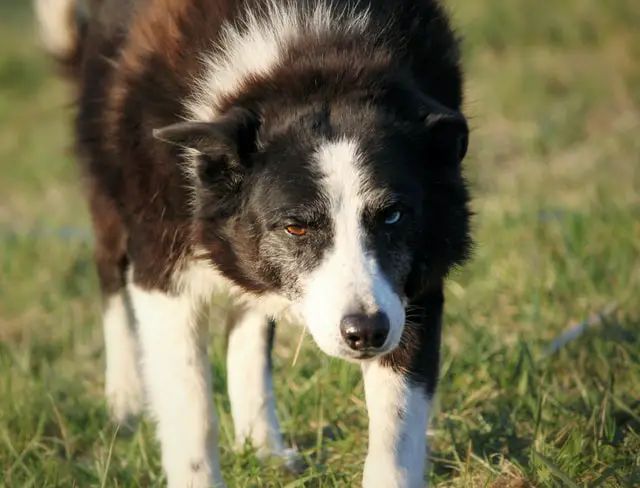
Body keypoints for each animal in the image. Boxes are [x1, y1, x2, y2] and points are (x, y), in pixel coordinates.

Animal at [37, 0, 472, 484]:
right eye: (296, 228)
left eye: (393, 215)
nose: (366, 334)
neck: (313, 55)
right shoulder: (162, 266)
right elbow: (192, 408)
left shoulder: (411, 284)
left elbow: (396, 427)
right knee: (110, 276)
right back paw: (126, 400)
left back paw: (263, 446)